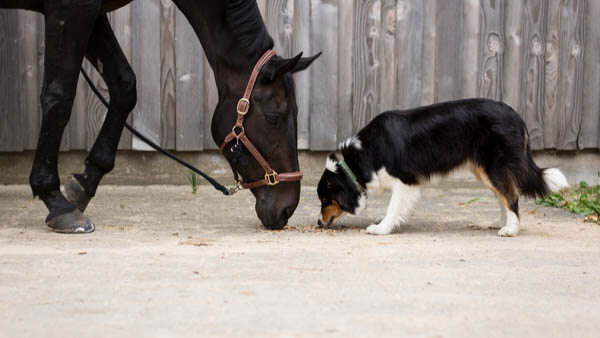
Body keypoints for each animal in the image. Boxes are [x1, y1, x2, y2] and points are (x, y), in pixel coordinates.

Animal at [0, 0, 322, 232]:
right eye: (273, 117)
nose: (287, 208)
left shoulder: (92, 11)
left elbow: (124, 85)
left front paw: (83, 185)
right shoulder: (70, 10)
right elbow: (59, 98)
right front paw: (56, 201)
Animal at [316, 98, 568, 238]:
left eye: (326, 201)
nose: (318, 223)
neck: (360, 157)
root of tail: (518, 117)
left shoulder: (405, 181)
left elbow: (393, 208)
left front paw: (381, 228)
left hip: (494, 167)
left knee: (511, 195)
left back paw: (510, 229)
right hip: (485, 170)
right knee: (504, 195)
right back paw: (503, 222)